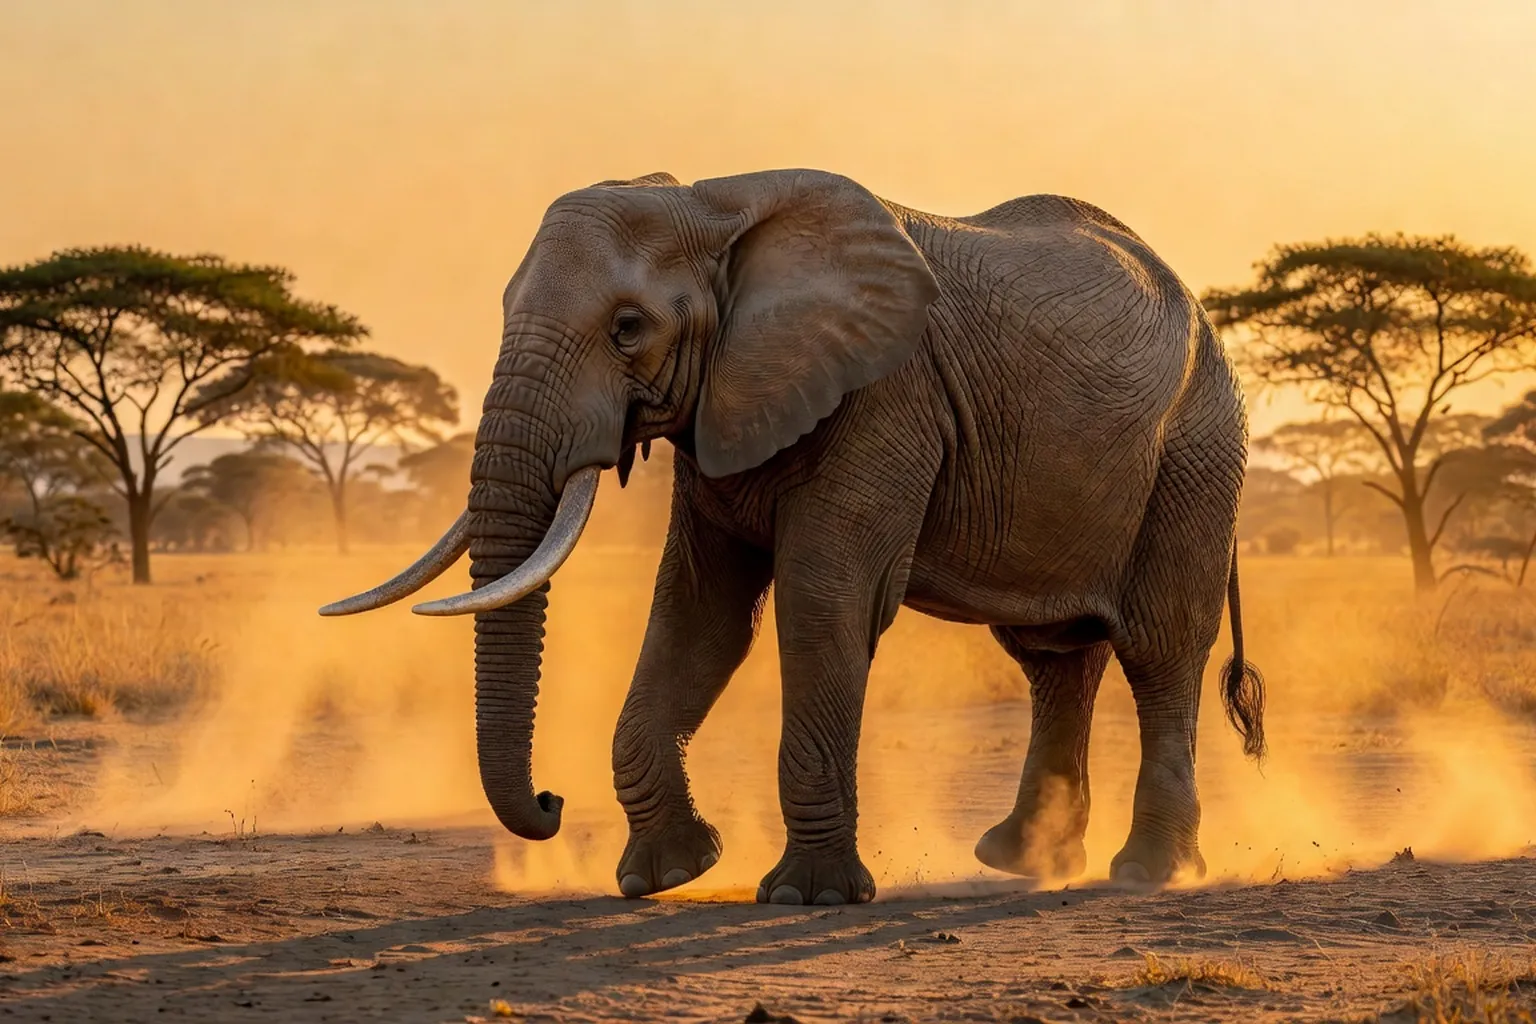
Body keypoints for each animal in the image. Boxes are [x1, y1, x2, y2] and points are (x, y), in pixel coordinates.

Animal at [322, 168, 1265, 906]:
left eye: (628, 329)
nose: (552, 805)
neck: (715, 206)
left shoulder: (887, 395)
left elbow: (823, 602)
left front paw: (807, 897)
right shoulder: (723, 407)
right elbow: (697, 618)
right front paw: (664, 877)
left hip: (1196, 449)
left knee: (1159, 649)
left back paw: (1148, 874)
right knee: (1054, 656)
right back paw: (1022, 860)